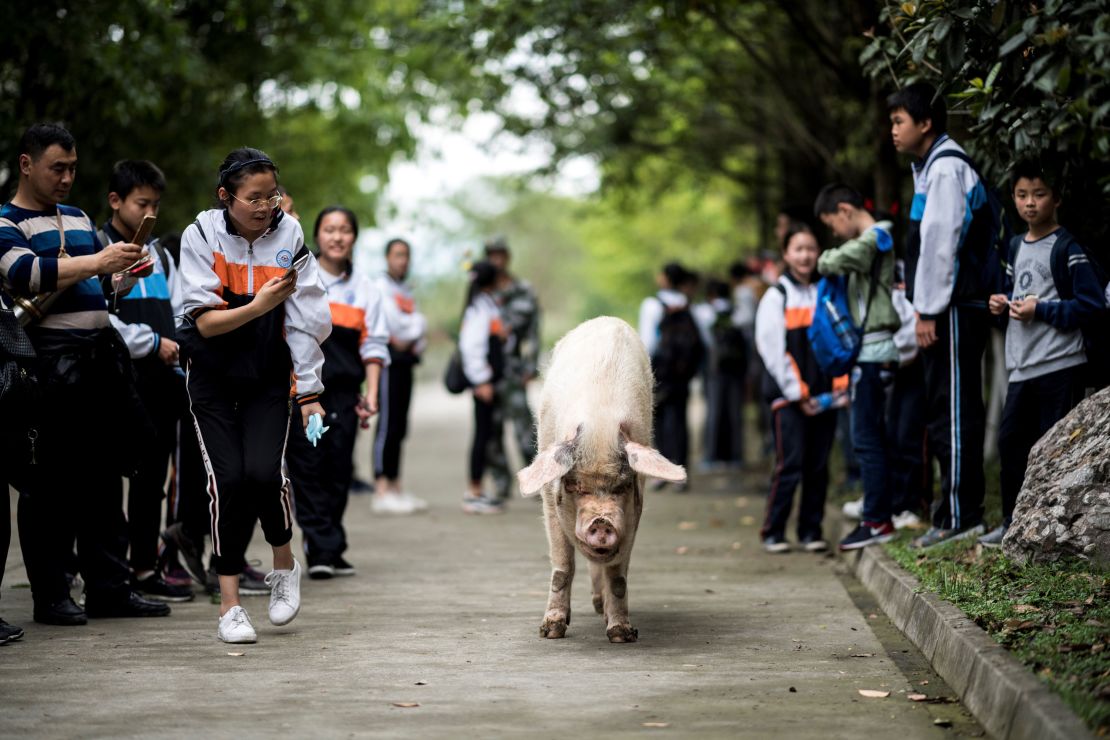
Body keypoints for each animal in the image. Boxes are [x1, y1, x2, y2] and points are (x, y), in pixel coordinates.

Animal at [517, 319, 683, 643]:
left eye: (622, 485)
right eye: (574, 486)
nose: (602, 522)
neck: (599, 426)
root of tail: (607, 319)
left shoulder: (633, 512)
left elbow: (618, 576)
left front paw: (621, 634)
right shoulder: (549, 501)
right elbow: (563, 567)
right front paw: (551, 632)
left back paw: (601, 609)